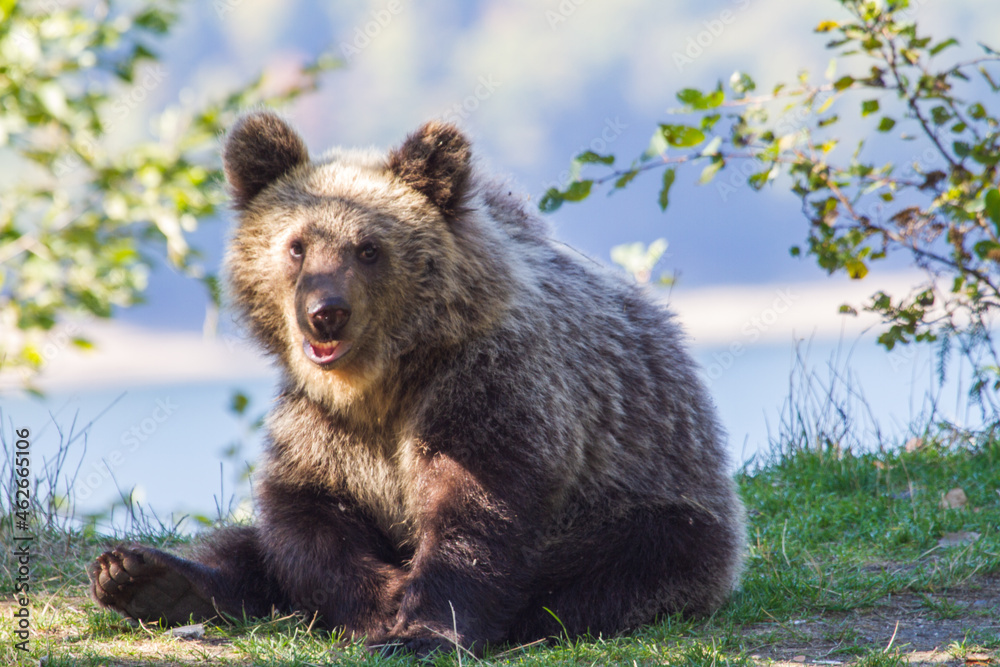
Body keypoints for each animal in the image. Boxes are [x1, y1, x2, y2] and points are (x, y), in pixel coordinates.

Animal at [88, 110, 745, 657]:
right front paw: (382, 603)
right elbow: (303, 517)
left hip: (656, 503)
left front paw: (419, 630)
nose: (325, 313)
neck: (385, 380)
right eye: (297, 245)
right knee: (247, 546)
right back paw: (144, 576)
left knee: (631, 554)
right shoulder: (320, 425)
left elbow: (475, 513)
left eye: (368, 249)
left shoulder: (491, 386)